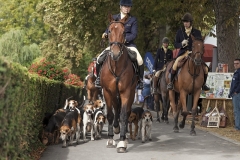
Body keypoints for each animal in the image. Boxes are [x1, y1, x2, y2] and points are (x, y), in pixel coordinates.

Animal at [99, 14, 137, 152]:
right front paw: (110, 139)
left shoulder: (125, 92)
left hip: (131, 92)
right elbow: (110, 114)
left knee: (125, 111)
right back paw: (116, 128)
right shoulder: (107, 91)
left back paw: (123, 136)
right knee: (116, 108)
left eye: (124, 32)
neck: (116, 65)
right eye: (109, 31)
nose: (115, 54)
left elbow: (124, 115)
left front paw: (121, 142)